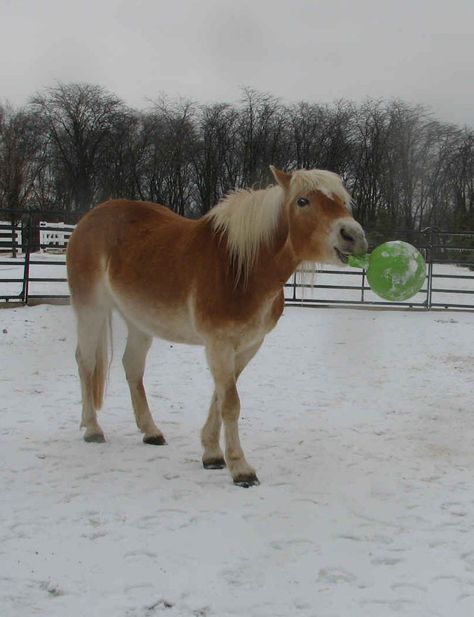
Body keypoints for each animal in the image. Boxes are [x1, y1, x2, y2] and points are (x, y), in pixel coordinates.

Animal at [65, 166, 366, 484]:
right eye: (303, 201)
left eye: (343, 200)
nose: (353, 235)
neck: (241, 268)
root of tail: (89, 218)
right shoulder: (218, 345)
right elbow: (230, 403)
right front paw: (241, 468)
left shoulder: (246, 347)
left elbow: (221, 398)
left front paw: (211, 454)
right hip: (90, 309)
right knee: (85, 362)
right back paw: (93, 428)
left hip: (138, 322)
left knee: (132, 366)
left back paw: (151, 432)